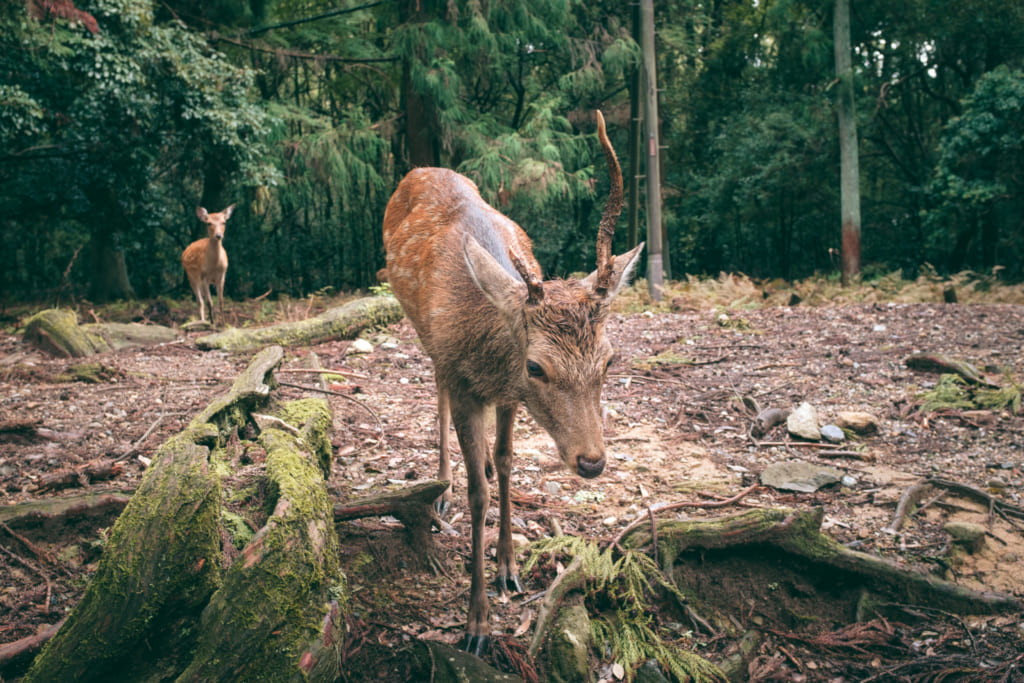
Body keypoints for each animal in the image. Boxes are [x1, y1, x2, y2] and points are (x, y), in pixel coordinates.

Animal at [382, 111, 644, 655]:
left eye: (609, 359)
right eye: (536, 367)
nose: (592, 461)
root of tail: (419, 169)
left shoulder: (509, 399)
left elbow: (505, 463)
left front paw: (508, 566)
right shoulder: (464, 377)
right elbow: (479, 492)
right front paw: (476, 623)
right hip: (423, 336)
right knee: (435, 391)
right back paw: (442, 486)